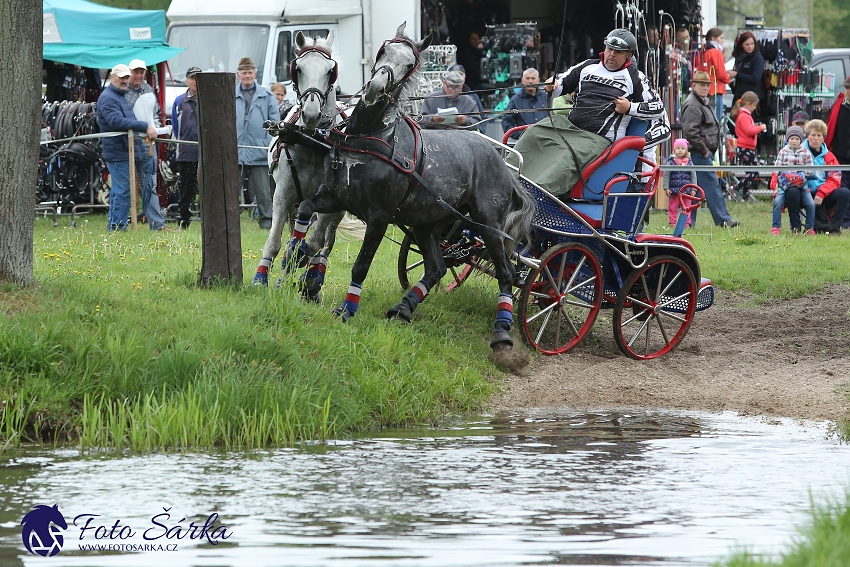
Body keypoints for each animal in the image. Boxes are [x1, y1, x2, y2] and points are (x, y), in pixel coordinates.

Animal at [252, 30, 344, 286]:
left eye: (329, 71)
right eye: (298, 68)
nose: (311, 114)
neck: (312, 141)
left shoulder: (327, 201)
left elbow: (312, 243)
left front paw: (298, 270)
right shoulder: (283, 194)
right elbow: (275, 242)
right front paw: (262, 279)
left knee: (326, 243)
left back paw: (312, 280)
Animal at [284, 24, 536, 352]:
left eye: (409, 64)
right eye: (382, 51)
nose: (376, 87)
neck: (370, 135)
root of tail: (503, 163)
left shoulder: (378, 217)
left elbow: (361, 264)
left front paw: (347, 309)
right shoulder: (335, 196)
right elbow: (304, 207)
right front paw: (296, 254)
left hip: (489, 224)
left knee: (506, 273)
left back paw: (502, 331)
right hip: (428, 222)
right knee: (436, 268)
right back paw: (403, 307)